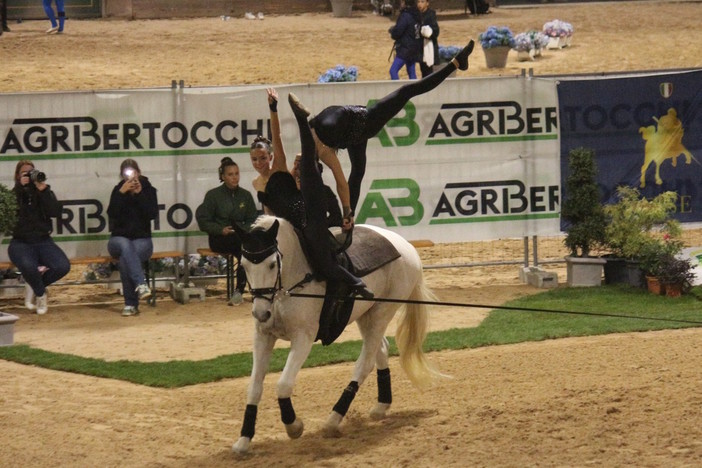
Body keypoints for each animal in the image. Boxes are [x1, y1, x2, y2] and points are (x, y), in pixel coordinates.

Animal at [231, 216, 440, 454]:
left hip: (381, 313)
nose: (260, 313)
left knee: (364, 364)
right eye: (244, 266)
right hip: (365, 316)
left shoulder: (303, 337)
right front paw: (244, 440)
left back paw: (333, 419)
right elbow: (254, 387)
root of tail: (406, 246)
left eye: (272, 264)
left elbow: (283, 384)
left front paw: (294, 426)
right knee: (381, 350)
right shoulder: (263, 336)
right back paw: (381, 406)